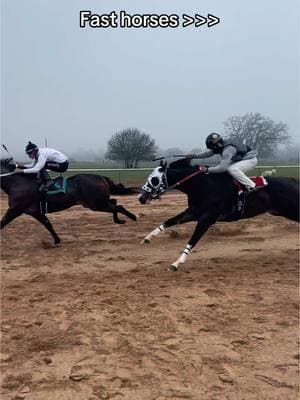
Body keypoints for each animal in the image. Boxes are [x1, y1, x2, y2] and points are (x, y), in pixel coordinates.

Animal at [0, 158, 137, 245]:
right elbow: (47, 224)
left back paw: (132, 217)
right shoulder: (35, 212)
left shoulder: (15, 209)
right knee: (114, 202)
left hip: (96, 204)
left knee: (117, 206)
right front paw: (57, 240)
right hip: (98, 201)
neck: (17, 183)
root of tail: (101, 177)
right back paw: (119, 220)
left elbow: (2, 223)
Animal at [139, 158, 298, 270]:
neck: (203, 186)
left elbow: (192, 240)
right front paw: (147, 238)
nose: (141, 197)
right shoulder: (193, 212)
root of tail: (294, 181)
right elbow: (168, 221)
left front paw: (176, 263)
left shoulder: (207, 219)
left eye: (154, 179)